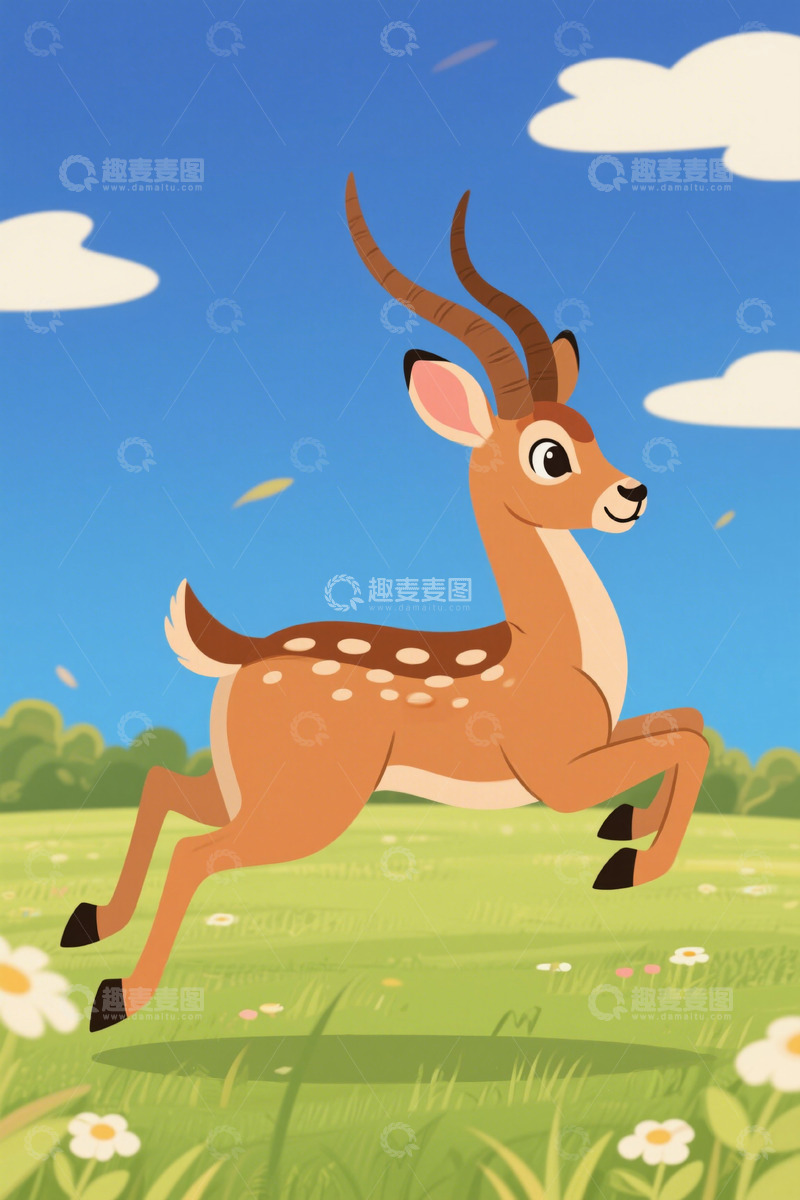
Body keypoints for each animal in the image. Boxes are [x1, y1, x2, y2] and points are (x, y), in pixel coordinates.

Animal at [61, 175, 709, 1031]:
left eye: (590, 427)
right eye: (549, 453)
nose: (632, 495)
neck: (550, 647)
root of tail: (235, 653)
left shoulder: (593, 740)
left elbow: (686, 721)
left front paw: (623, 828)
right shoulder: (554, 773)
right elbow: (687, 740)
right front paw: (625, 865)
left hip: (252, 782)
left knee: (166, 784)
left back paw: (86, 921)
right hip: (311, 802)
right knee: (199, 851)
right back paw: (116, 998)